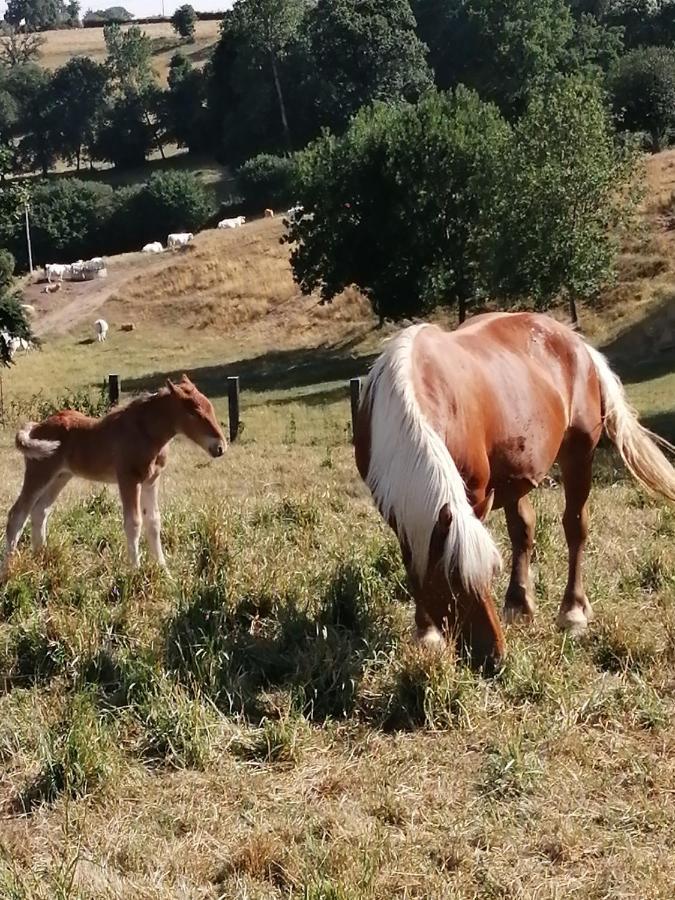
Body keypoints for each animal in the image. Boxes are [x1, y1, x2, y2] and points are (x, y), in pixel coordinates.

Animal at [1, 374, 228, 576]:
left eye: (210, 407)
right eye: (194, 412)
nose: (220, 447)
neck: (147, 433)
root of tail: (35, 427)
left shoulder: (151, 481)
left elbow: (154, 521)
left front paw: (164, 571)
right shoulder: (128, 479)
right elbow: (134, 523)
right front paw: (135, 571)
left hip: (61, 477)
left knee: (40, 511)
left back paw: (42, 560)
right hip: (40, 472)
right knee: (17, 514)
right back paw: (9, 569)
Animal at [354, 310, 675, 668]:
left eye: (490, 573)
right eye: (448, 584)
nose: (493, 659)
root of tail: (576, 343)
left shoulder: (473, 498)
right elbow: (413, 558)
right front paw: (426, 634)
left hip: (579, 454)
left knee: (575, 526)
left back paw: (573, 612)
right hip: (514, 478)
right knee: (523, 528)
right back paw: (519, 605)